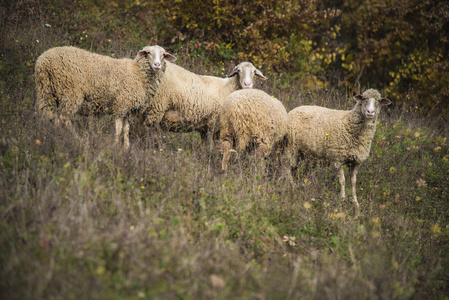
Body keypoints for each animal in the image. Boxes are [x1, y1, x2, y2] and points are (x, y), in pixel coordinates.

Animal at [35, 44, 176, 149]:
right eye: (148, 53)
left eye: (163, 55)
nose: (157, 65)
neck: (137, 73)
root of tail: (43, 61)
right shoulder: (121, 105)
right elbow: (118, 129)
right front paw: (115, 146)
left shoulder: (127, 108)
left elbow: (126, 129)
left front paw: (126, 148)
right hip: (70, 92)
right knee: (63, 118)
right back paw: (75, 139)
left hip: (46, 91)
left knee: (49, 116)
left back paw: (49, 134)